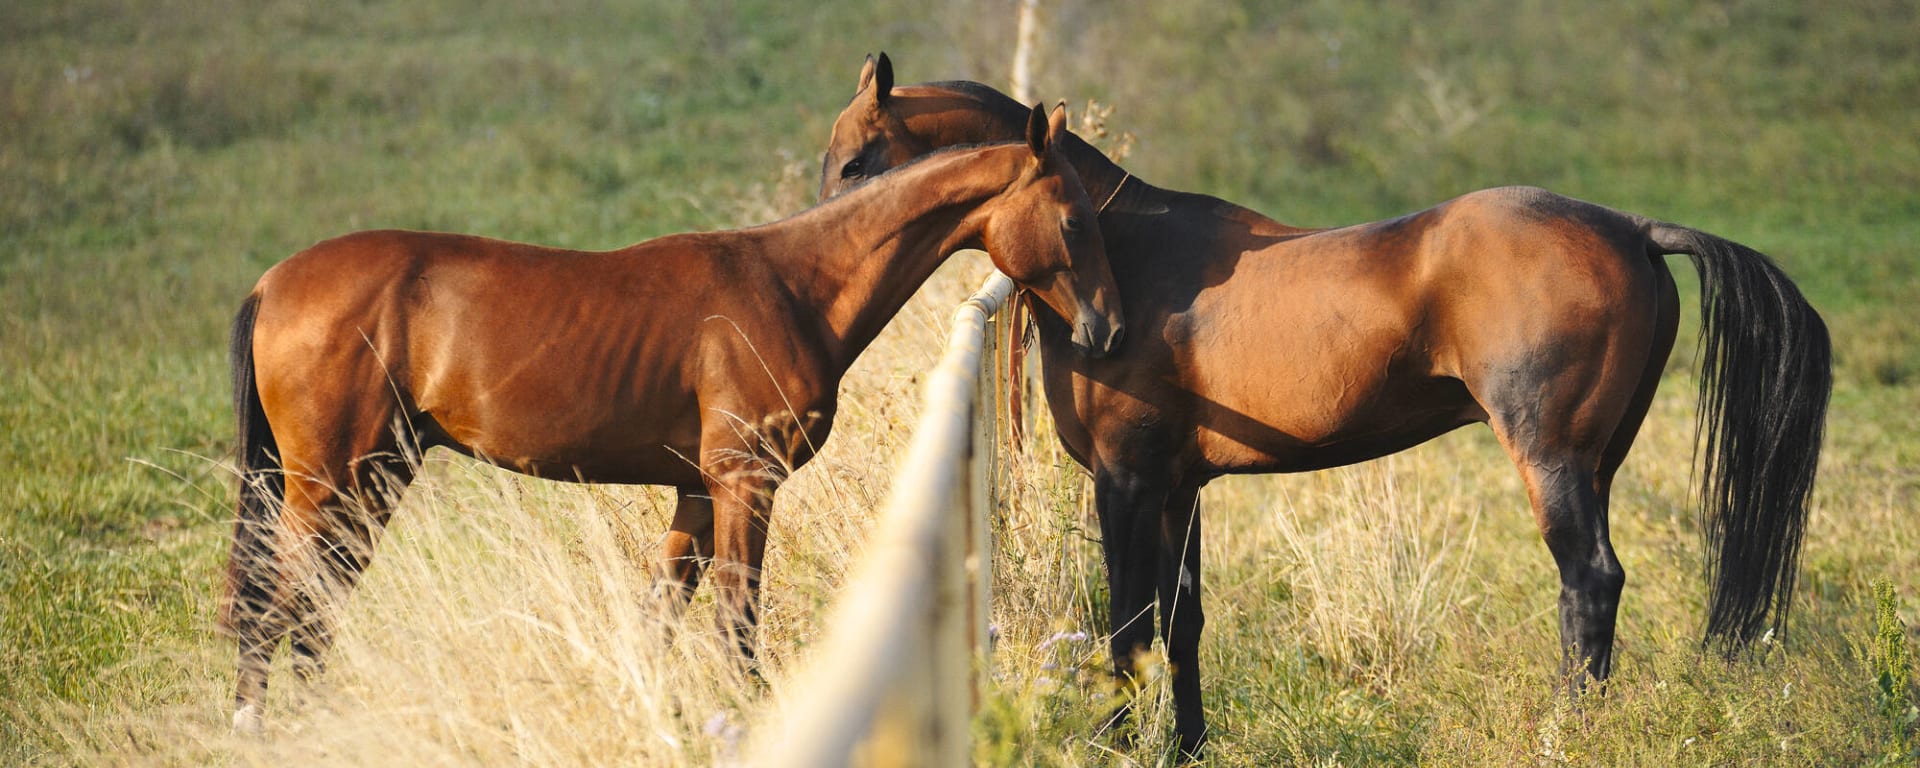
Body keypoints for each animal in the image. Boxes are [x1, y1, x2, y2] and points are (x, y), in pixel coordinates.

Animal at [220, 102, 1123, 732]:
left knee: (311, 609)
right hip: (326, 484)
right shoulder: (744, 484)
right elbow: (735, 621)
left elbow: (663, 618)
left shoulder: (696, 493)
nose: (1106, 331)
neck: (794, 285)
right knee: (277, 606)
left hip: (373, 477)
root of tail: (271, 282)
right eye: (1073, 220)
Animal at [818, 54, 1830, 757]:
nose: (825, 243)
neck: (1126, 262)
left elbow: (1130, 622)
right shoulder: (1180, 488)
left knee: (1590, 585)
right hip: (1600, 464)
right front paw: (1188, 747)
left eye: (859, 160)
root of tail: (1631, 229)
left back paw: (1564, 735)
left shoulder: (1126, 483)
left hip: (1551, 462)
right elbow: (1181, 622)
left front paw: (1119, 744)